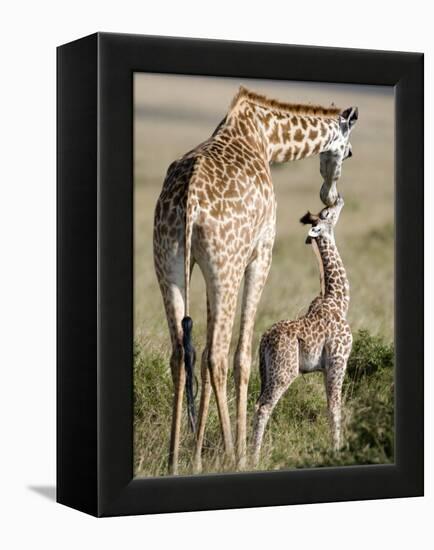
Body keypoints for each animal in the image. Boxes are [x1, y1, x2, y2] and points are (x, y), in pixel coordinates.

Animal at [251, 196, 352, 468]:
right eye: (327, 213)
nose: (339, 199)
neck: (339, 301)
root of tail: (263, 341)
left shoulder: (326, 367)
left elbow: (330, 406)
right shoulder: (338, 360)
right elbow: (334, 407)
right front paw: (337, 451)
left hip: (266, 371)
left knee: (256, 403)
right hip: (284, 372)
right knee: (264, 407)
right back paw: (251, 458)